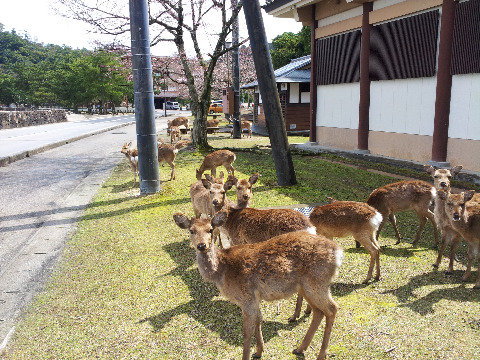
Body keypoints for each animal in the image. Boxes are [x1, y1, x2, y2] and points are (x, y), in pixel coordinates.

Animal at [172, 212, 342, 360]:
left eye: (210, 229)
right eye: (191, 230)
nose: (202, 245)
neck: (222, 271)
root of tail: (338, 253)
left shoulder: (246, 297)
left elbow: (247, 332)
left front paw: (248, 355)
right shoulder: (254, 299)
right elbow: (258, 321)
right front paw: (259, 352)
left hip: (317, 283)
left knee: (332, 309)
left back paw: (320, 354)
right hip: (307, 287)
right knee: (318, 312)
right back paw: (299, 348)